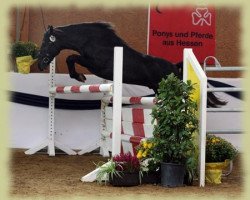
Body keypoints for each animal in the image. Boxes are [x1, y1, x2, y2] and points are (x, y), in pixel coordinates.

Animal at [38, 22, 231, 108]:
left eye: (46, 43)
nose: (40, 64)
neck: (93, 42)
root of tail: (175, 67)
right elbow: (72, 58)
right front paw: (79, 76)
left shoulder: (96, 65)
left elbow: (71, 58)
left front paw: (79, 76)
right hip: (158, 90)